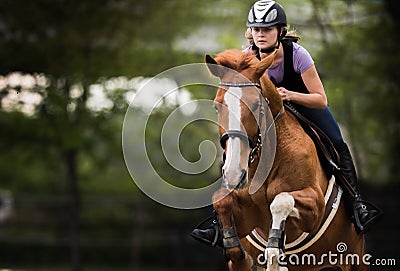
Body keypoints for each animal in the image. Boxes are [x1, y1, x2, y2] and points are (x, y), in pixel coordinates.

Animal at [205, 49, 368, 271]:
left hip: (354, 256)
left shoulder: (315, 209)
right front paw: (234, 250)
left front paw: (275, 251)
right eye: (216, 107)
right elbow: (222, 200)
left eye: (256, 104)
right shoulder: (246, 219)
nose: (233, 174)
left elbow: (281, 201)